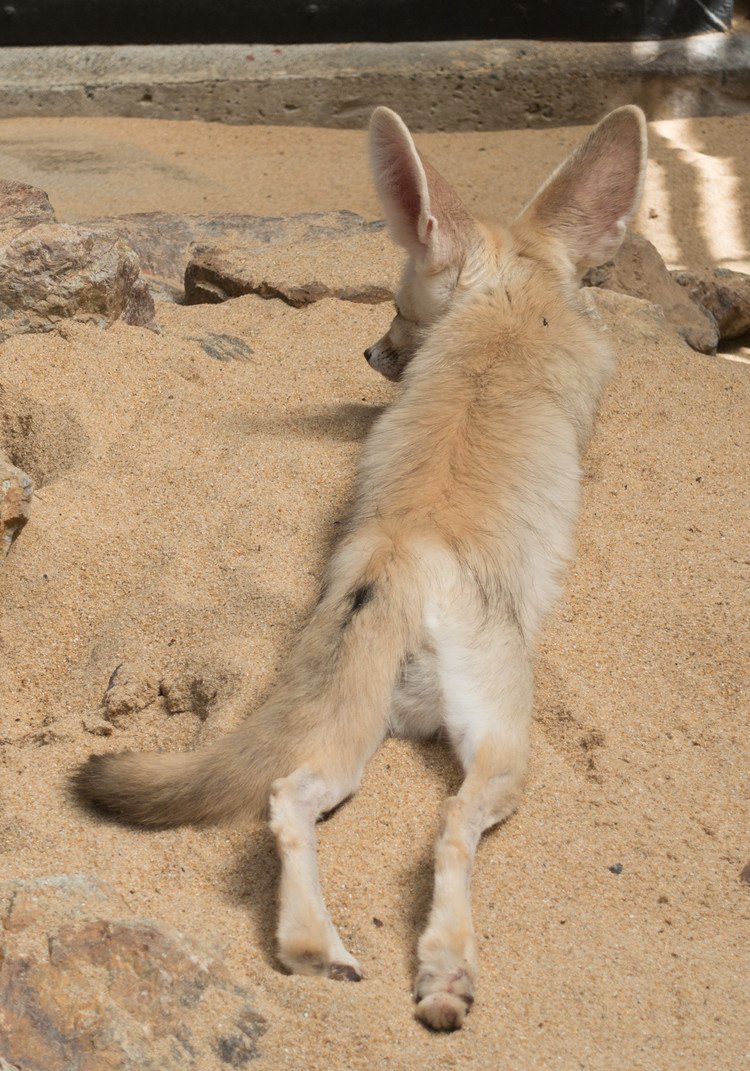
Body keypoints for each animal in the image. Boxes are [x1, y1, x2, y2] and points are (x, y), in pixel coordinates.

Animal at [74, 106, 642, 1028]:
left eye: (400, 308)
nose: (371, 356)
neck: (511, 296)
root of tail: (392, 559)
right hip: (501, 738)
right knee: (450, 828)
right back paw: (444, 972)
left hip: (348, 730)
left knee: (285, 799)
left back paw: (313, 946)